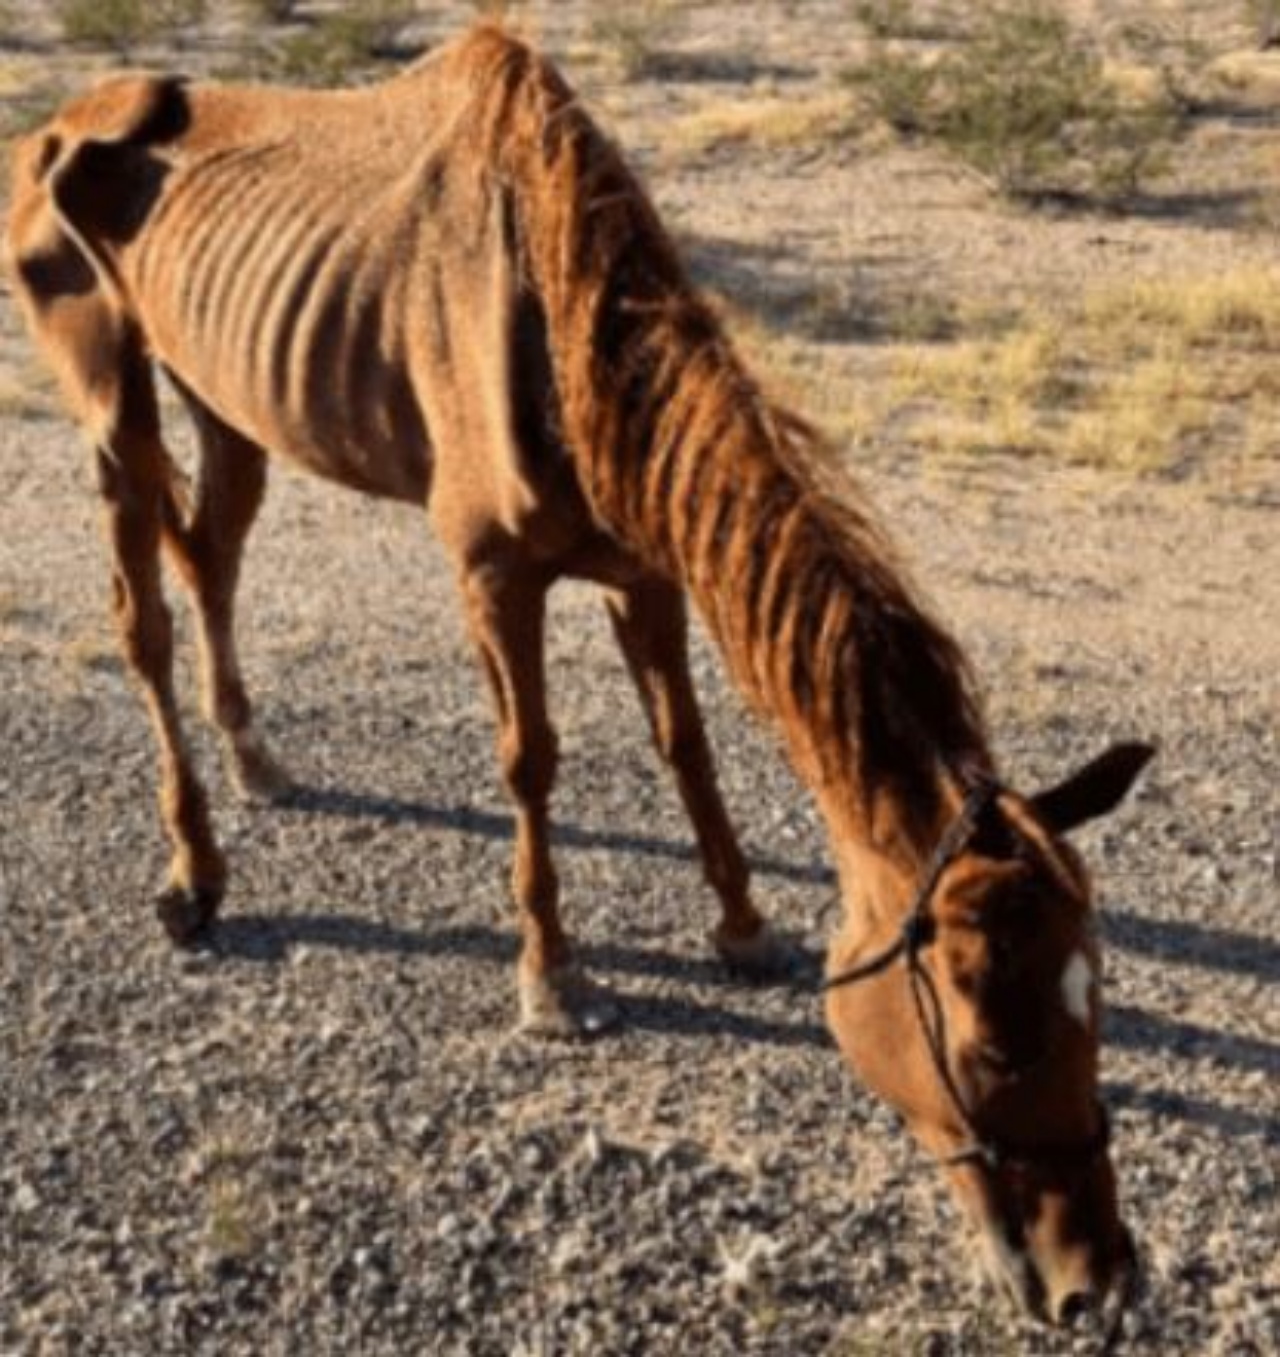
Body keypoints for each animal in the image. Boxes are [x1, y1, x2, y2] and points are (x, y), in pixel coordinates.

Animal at [5, 23, 1156, 1324]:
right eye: (987, 1043)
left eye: (1096, 1002)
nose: (1095, 1282)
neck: (561, 334)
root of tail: (56, 125)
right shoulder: (494, 575)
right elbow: (531, 762)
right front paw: (550, 977)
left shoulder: (643, 570)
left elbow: (684, 743)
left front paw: (741, 924)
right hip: (111, 401)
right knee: (143, 618)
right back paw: (194, 873)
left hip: (227, 401)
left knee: (212, 561)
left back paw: (257, 760)